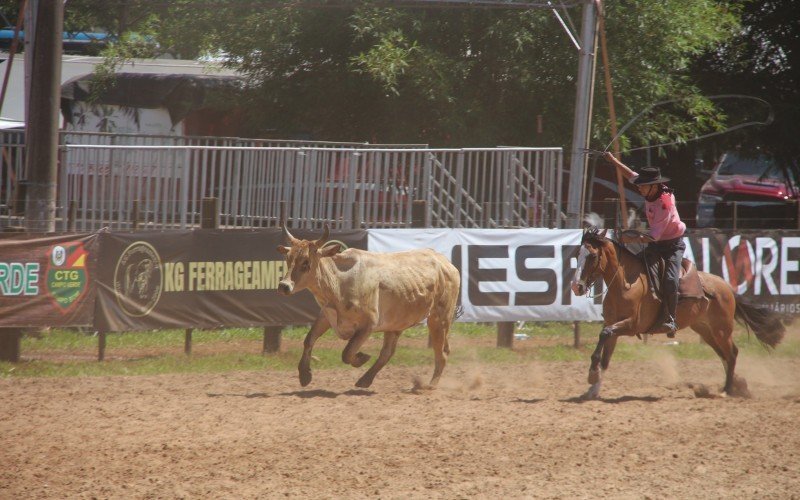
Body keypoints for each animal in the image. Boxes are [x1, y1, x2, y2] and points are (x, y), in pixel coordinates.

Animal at [568, 227, 788, 398]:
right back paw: (732, 386)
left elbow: (603, 335)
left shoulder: (631, 325)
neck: (625, 283)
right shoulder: (613, 324)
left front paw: (592, 374)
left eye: (592, 255)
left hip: (721, 330)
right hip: (705, 330)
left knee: (732, 353)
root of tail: (726, 286)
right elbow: (606, 356)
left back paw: (726, 390)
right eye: (577, 255)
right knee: (724, 355)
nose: (576, 287)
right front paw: (593, 389)